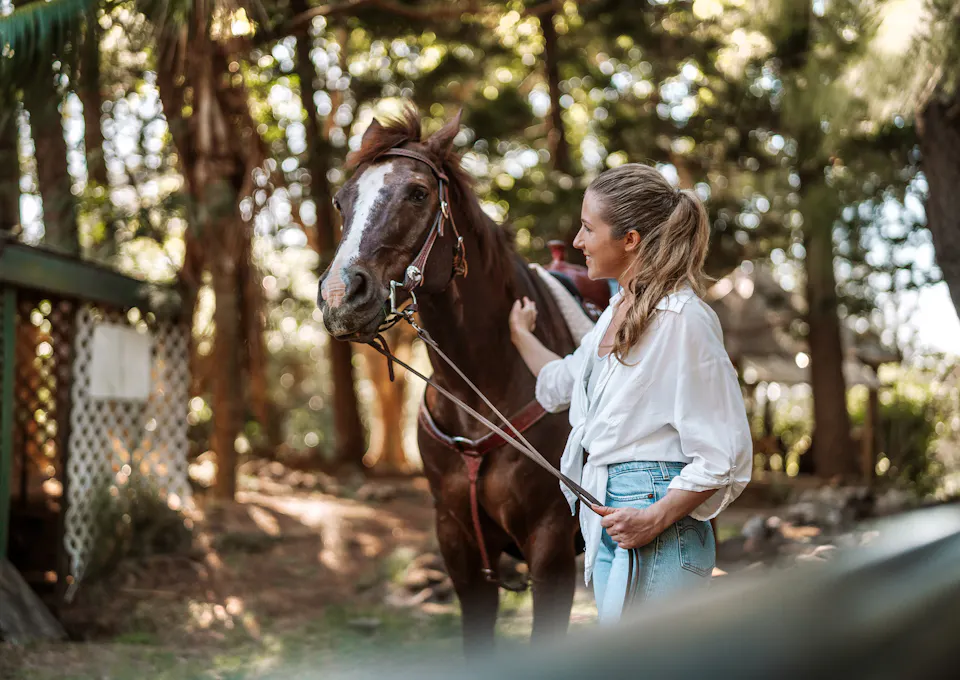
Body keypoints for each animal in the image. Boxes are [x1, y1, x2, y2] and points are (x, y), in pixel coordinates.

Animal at [317, 108, 581, 654]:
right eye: (340, 200)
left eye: (418, 193)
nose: (338, 296)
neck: (478, 397)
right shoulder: (460, 550)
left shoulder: (552, 548)